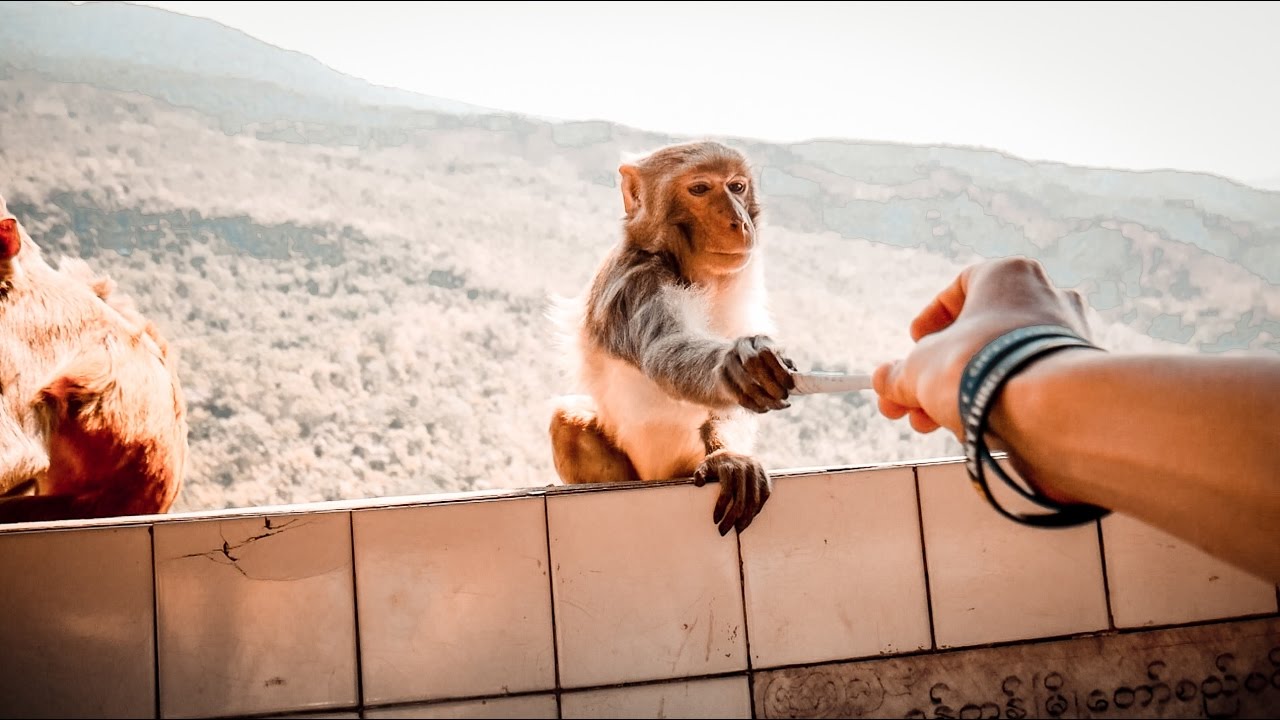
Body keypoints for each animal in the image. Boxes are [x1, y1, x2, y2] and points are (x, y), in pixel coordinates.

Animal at [547, 140, 796, 536]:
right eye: (700, 189)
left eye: (736, 186)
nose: (738, 221)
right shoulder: (637, 286)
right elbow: (665, 348)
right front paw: (740, 370)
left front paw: (730, 455)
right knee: (566, 420)